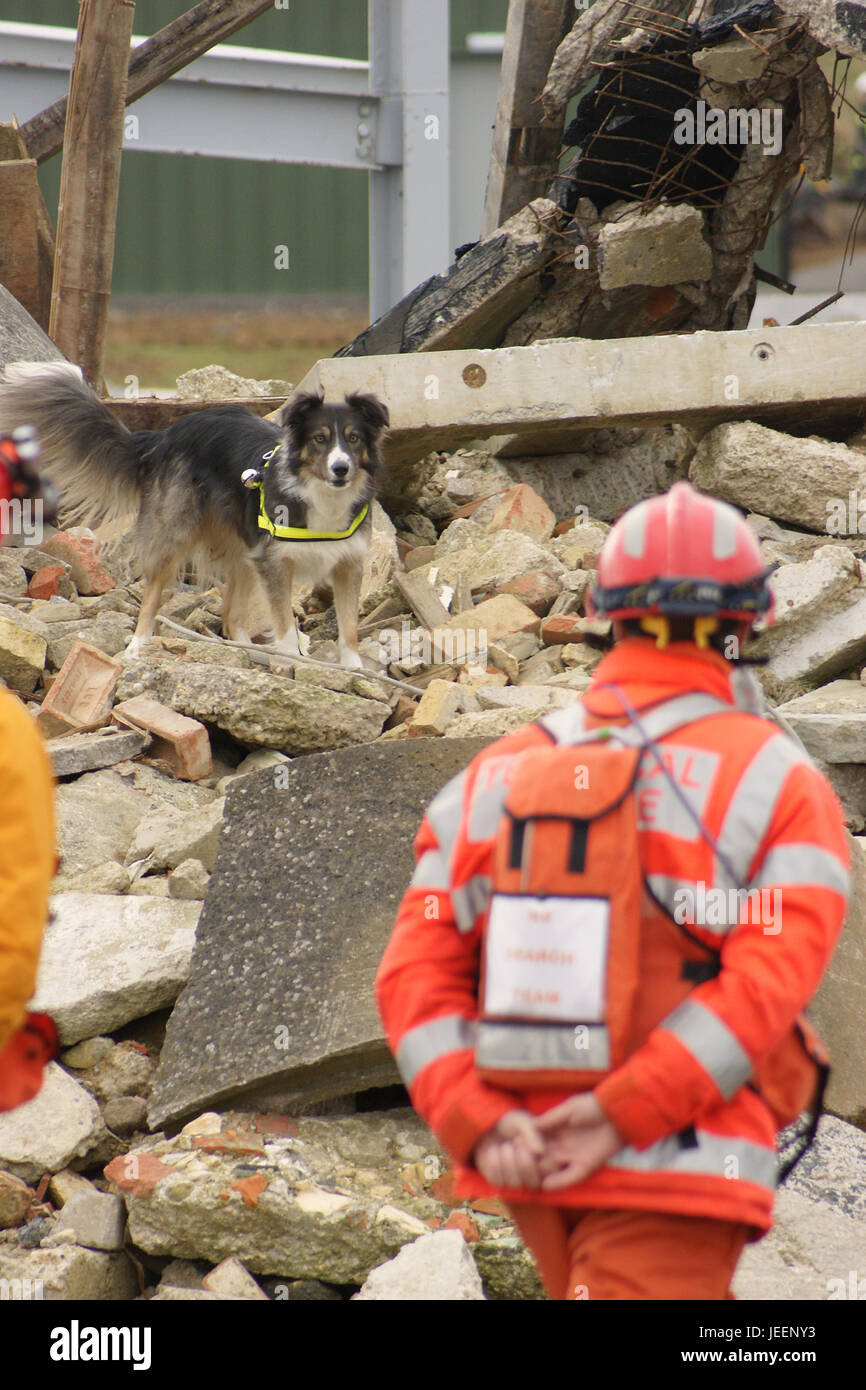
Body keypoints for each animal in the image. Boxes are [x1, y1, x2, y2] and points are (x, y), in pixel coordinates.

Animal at [0, 364, 389, 667]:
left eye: (354, 439)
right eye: (320, 439)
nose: (341, 469)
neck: (320, 493)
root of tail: (167, 433)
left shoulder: (348, 563)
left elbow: (349, 626)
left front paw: (354, 670)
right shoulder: (276, 564)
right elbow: (284, 625)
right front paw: (292, 661)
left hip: (244, 551)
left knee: (231, 617)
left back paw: (244, 652)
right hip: (174, 534)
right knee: (151, 598)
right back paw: (137, 647)